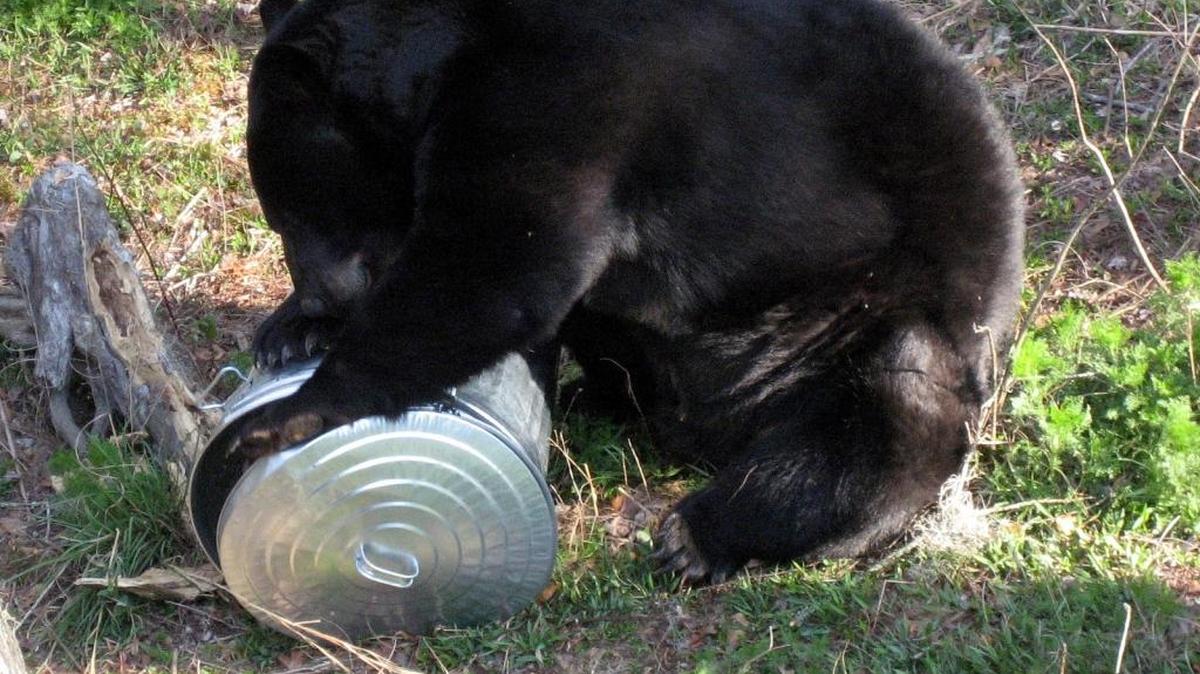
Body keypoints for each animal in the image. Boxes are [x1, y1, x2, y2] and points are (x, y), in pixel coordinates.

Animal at [230, 0, 1025, 584]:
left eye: (290, 211)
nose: (324, 288)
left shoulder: (562, 91)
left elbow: (495, 261)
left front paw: (277, 418)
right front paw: (289, 330)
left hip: (860, 320)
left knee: (888, 413)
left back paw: (699, 534)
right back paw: (597, 400)